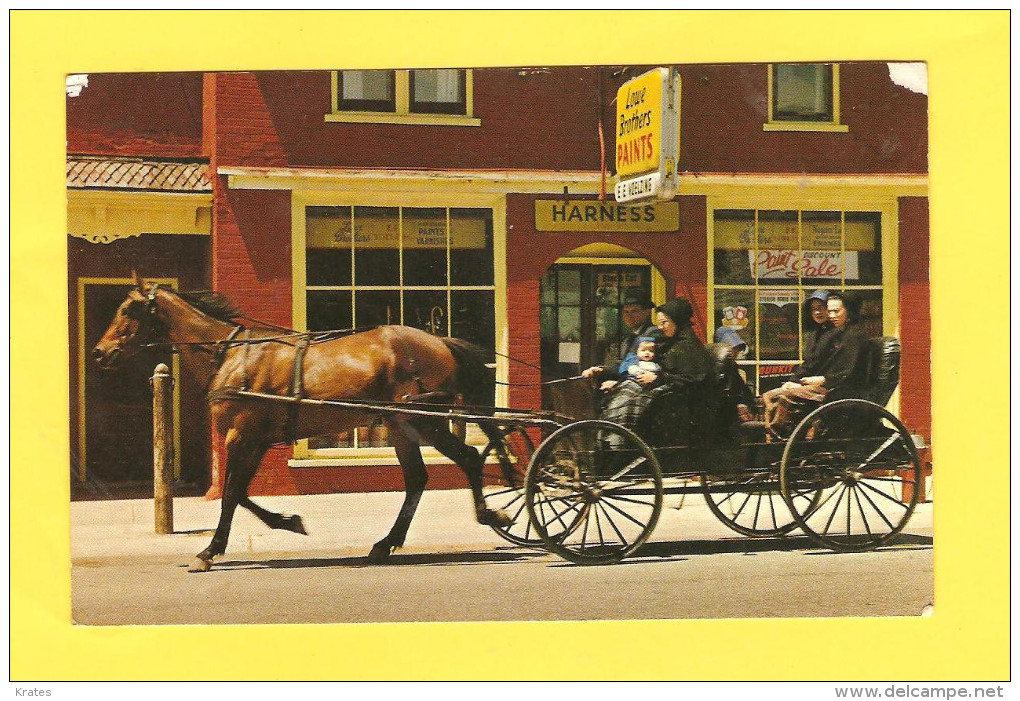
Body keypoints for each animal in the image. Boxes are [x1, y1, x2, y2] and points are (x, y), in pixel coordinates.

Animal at [91, 273, 514, 571]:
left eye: (127, 310)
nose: (99, 352)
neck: (230, 354)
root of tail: (441, 343)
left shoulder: (240, 435)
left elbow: (230, 493)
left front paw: (209, 550)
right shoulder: (256, 438)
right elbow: (240, 492)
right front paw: (288, 521)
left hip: (422, 420)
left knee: (467, 459)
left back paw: (489, 513)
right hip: (402, 424)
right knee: (418, 478)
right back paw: (386, 543)